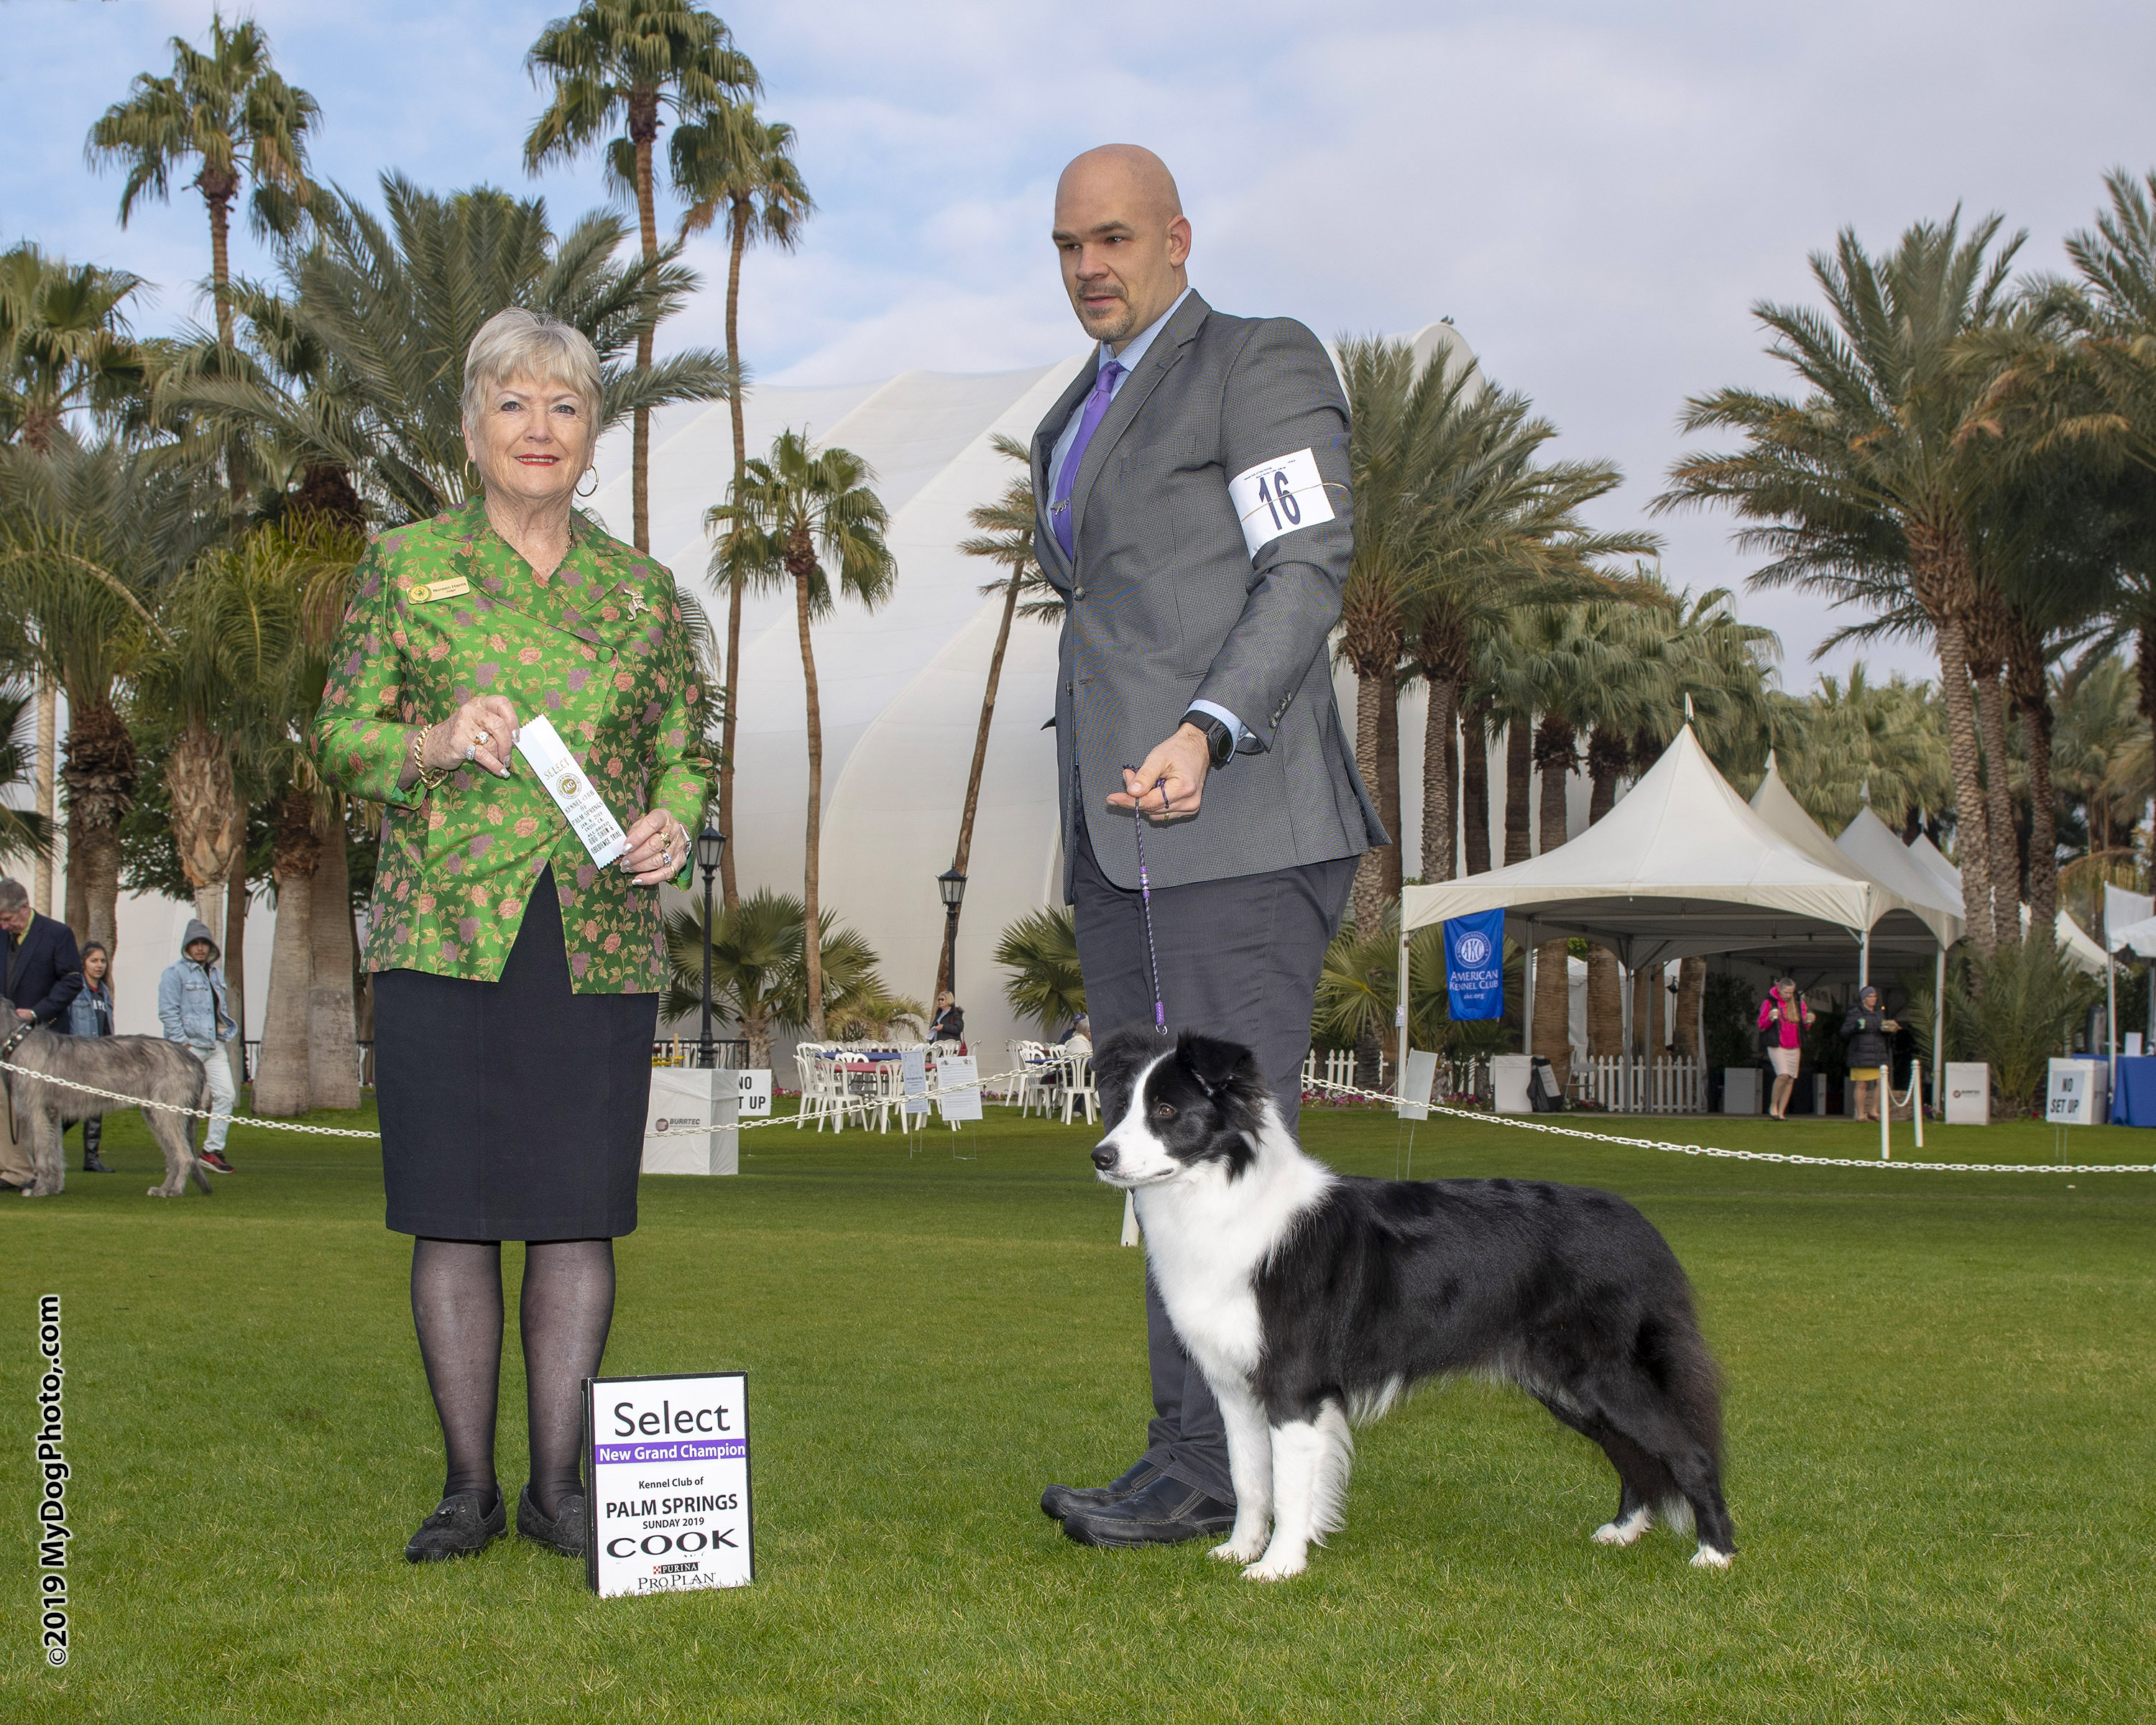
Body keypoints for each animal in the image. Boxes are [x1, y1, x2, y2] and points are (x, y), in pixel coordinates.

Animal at [1, 996, 212, 1199]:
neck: (17, 1040)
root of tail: (195, 1061)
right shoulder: (52, 1114)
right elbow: (55, 1153)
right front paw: (54, 1188)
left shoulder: (38, 1111)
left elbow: (42, 1152)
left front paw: (39, 1190)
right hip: (155, 1114)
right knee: (173, 1156)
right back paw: (163, 1189)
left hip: (167, 1110)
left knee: (184, 1155)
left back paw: (174, 1190)